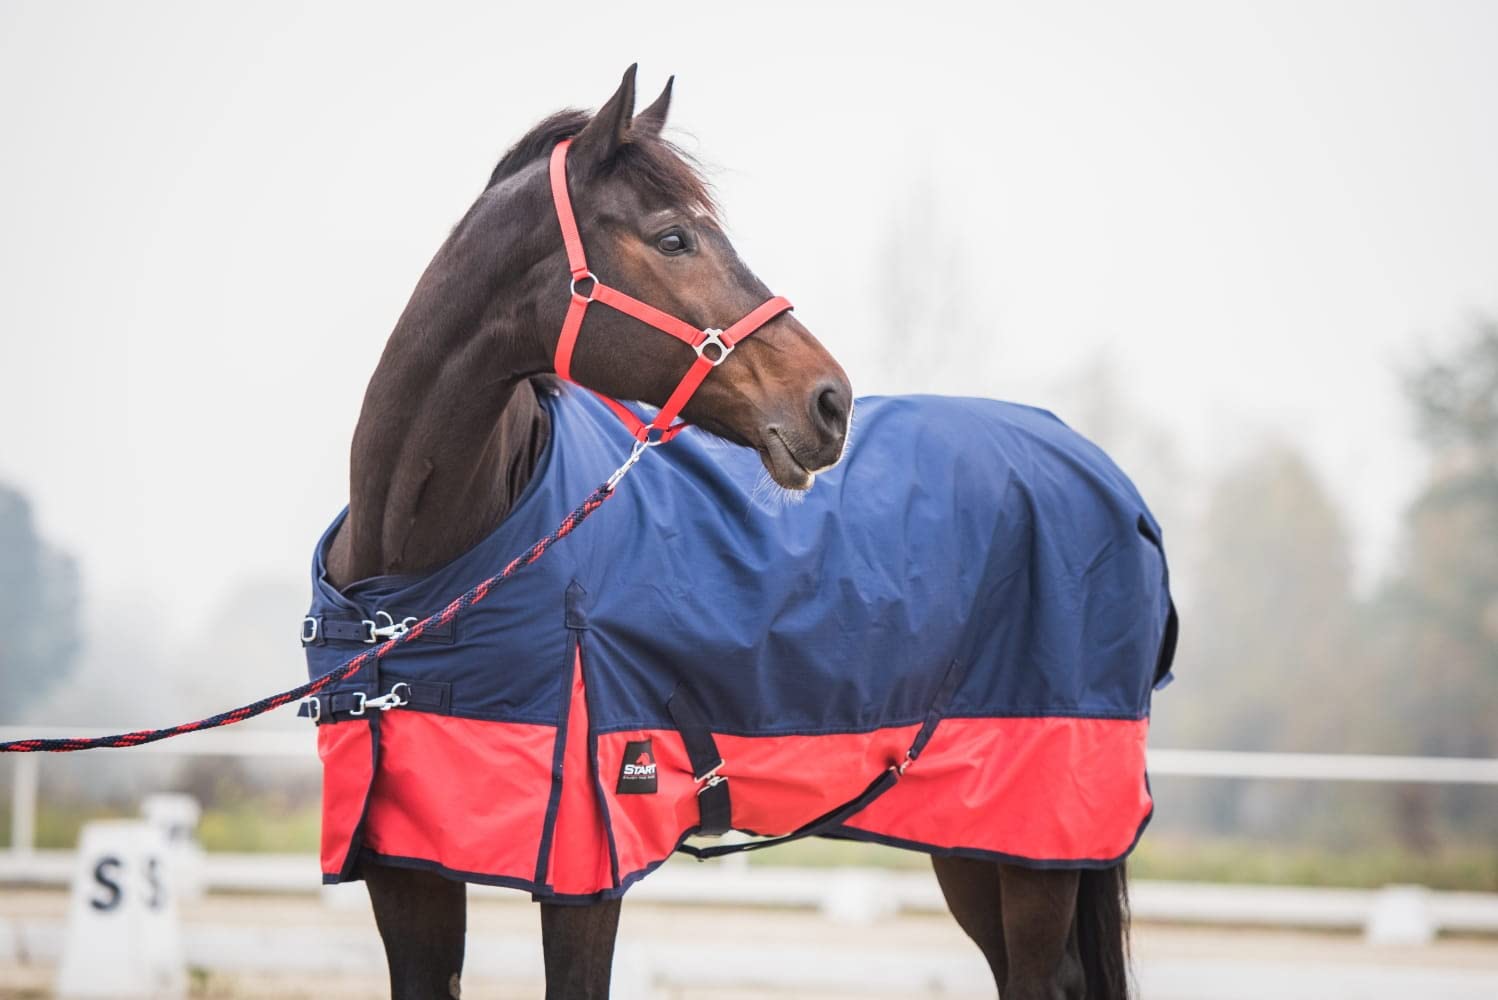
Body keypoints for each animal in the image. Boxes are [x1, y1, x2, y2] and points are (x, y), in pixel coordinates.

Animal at [316, 66, 1169, 1000]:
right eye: (675, 237)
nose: (830, 402)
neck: (425, 582)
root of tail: (1107, 479)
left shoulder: (587, 865)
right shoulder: (404, 869)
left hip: (1038, 842)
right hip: (974, 841)